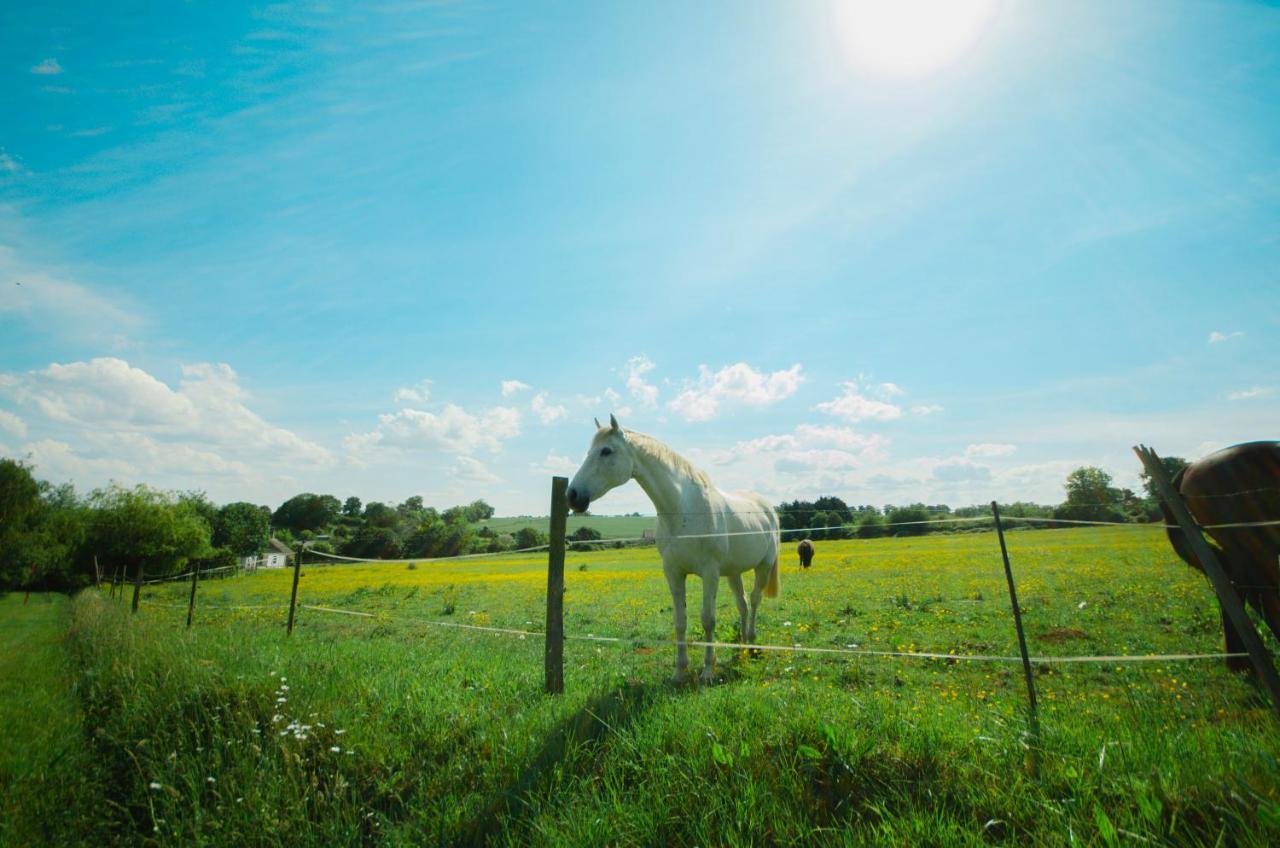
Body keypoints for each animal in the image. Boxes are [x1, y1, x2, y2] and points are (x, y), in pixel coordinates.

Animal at [568, 412, 778, 686]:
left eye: (606, 451)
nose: (573, 495)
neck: (682, 510)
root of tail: (768, 507)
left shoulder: (709, 573)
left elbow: (708, 619)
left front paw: (707, 671)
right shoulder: (673, 572)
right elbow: (680, 622)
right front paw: (679, 672)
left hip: (763, 567)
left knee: (754, 601)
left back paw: (752, 646)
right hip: (733, 572)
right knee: (742, 604)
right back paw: (740, 648)